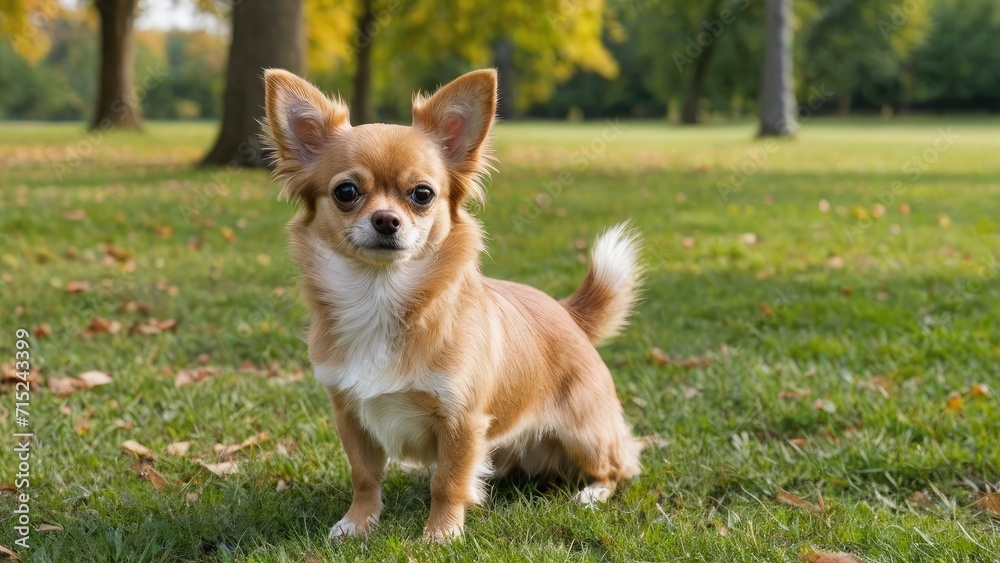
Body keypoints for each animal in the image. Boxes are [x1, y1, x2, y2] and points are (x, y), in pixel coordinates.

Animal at [262, 68, 644, 540]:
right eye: (346, 191)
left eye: (423, 194)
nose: (386, 220)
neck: (379, 295)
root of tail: (566, 312)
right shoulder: (349, 413)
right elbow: (365, 475)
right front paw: (358, 522)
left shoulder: (461, 419)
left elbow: (447, 480)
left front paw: (441, 534)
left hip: (585, 433)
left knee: (617, 467)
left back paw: (590, 495)